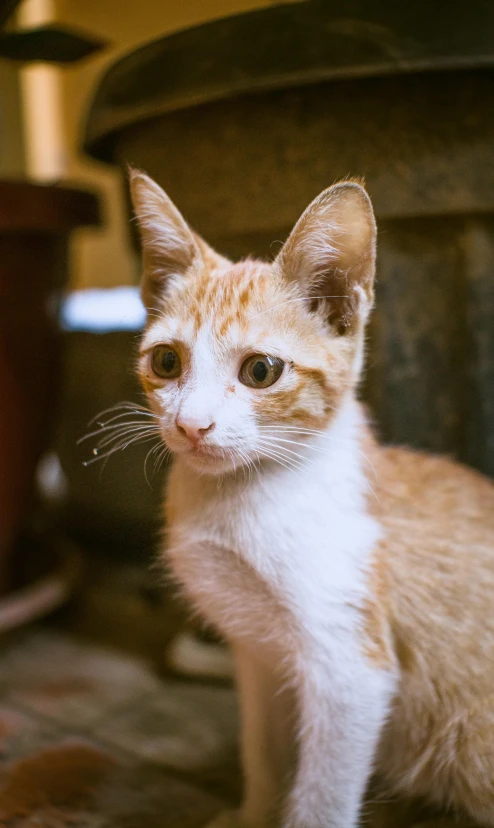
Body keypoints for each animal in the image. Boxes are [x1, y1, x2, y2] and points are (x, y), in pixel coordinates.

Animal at [128, 170, 494, 828]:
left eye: (261, 371)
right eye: (166, 361)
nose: (192, 425)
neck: (240, 497)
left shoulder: (350, 671)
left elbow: (321, 797)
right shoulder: (257, 654)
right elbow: (262, 748)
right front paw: (254, 813)